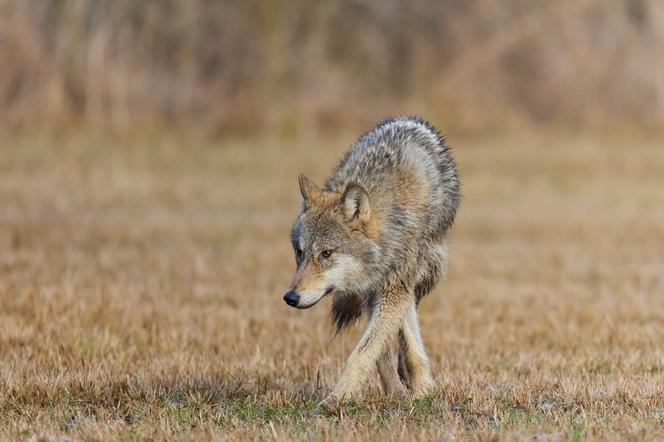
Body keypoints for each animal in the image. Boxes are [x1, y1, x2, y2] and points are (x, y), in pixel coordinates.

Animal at [282, 115, 460, 408]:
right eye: (300, 252)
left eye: (326, 254)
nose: (290, 298)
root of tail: (407, 119)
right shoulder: (373, 291)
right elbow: (381, 351)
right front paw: (396, 392)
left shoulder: (395, 289)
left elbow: (363, 353)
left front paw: (337, 399)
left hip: (426, 273)